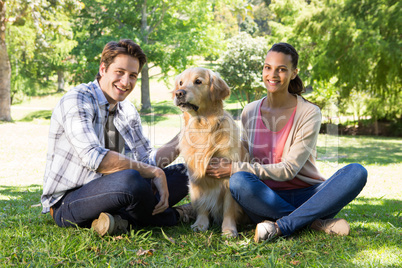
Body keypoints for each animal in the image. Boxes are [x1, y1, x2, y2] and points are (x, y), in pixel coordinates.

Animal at [174, 67, 245, 237]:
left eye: (198, 81)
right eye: (181, 83)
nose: (178, 93)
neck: (203, 128)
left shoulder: (228, 176)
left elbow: (229, 209)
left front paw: (229, 230)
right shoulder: (195, 177)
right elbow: (201, 204)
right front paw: (200, 224)